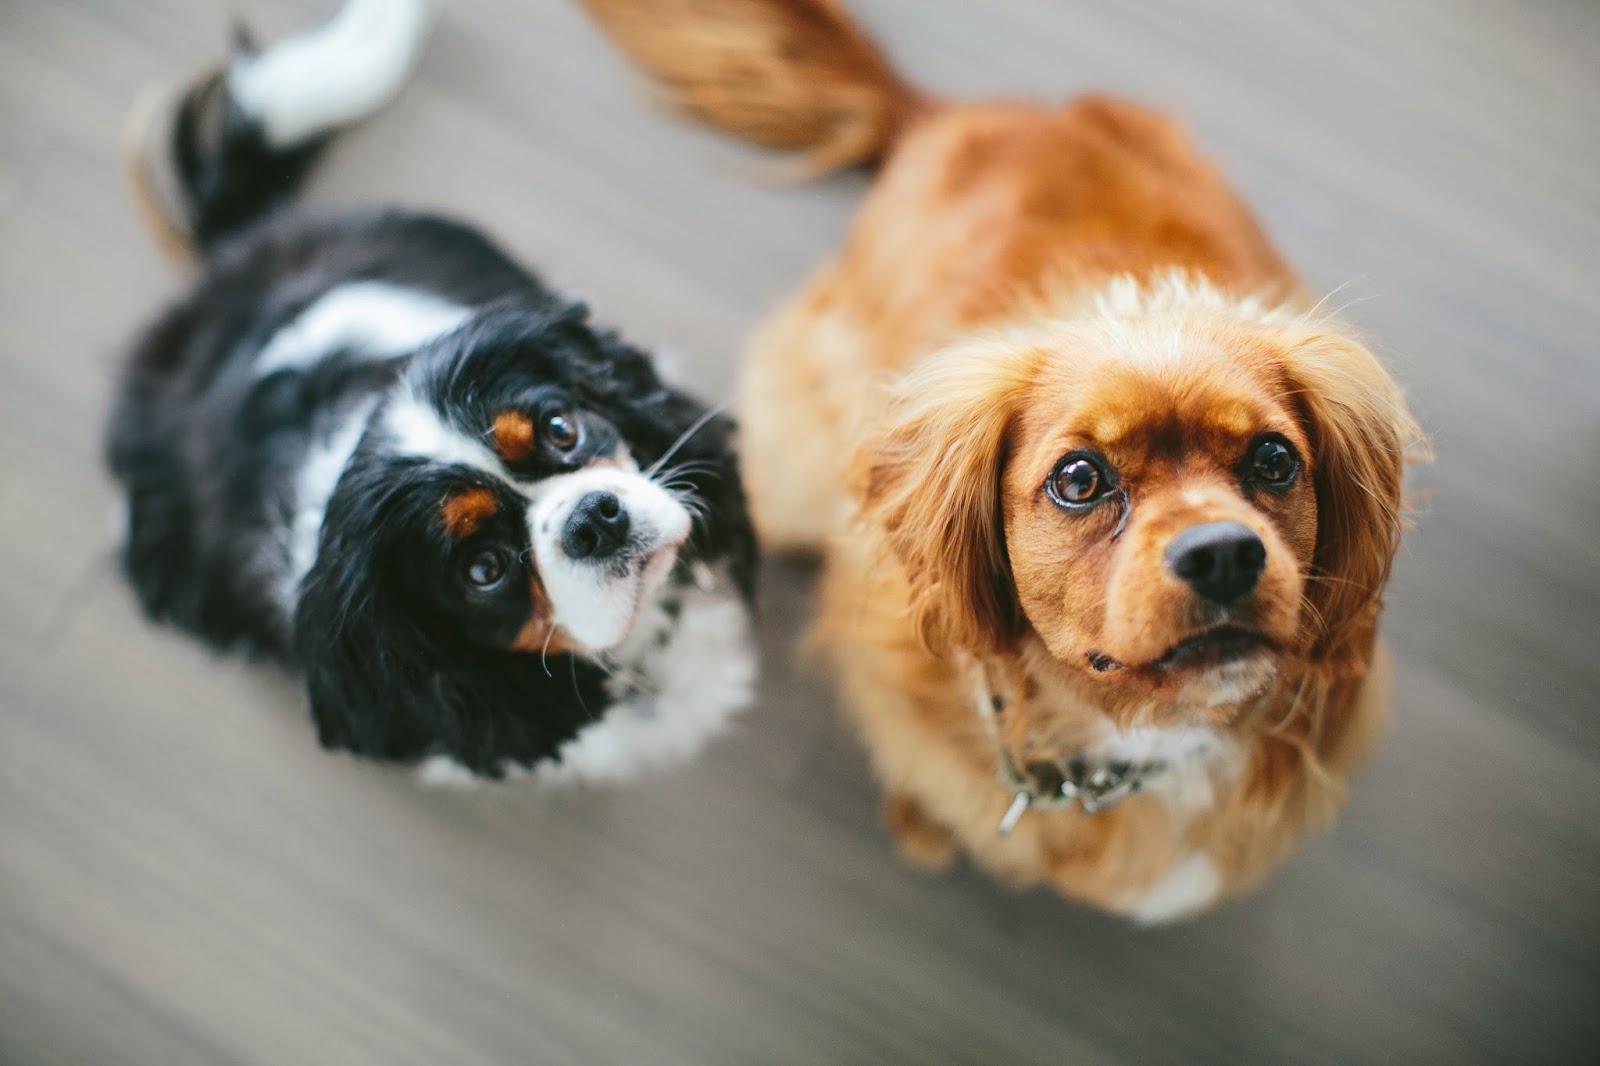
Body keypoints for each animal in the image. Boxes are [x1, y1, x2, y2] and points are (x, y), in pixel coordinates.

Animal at [583, 0, 1422, 919]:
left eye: (1274, 460)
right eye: (1079, 479)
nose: (1225, 554)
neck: (1128, 736)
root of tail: (948, 114)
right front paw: (922, 822)